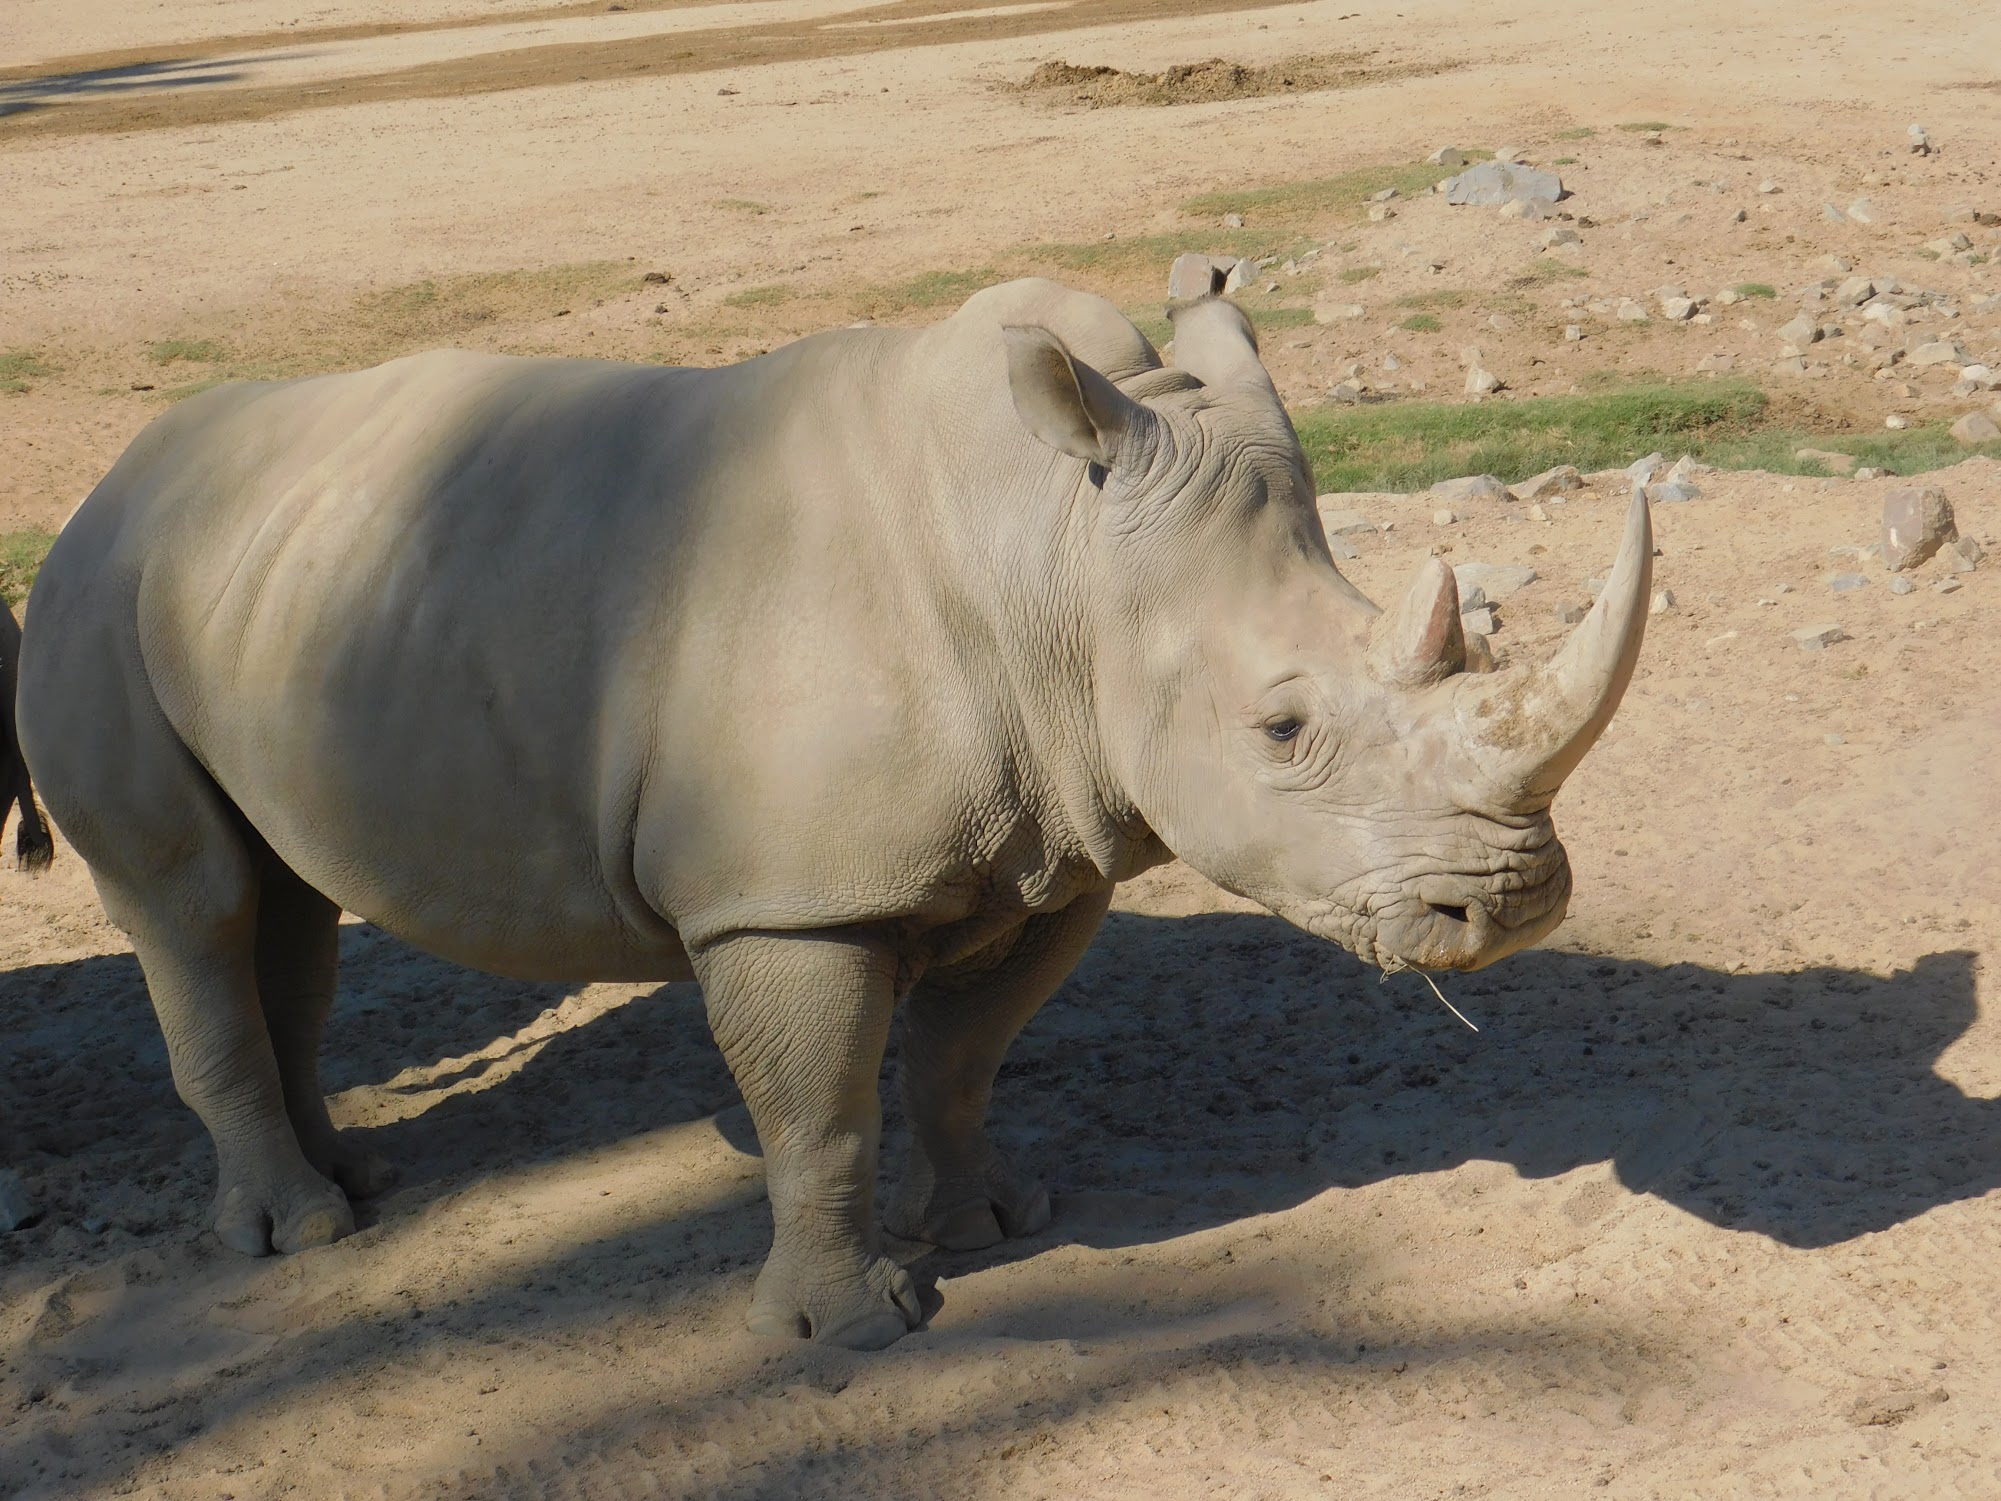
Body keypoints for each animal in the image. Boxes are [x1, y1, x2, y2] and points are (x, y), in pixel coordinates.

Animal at [15, 278, 1649, 1348]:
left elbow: (957, 1064)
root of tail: (106, 479)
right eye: (1284, 730)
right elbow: (819, 1107)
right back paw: (296, 1235)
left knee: (284, 899)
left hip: (277, 586)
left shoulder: (1057, 849)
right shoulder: (788, 897)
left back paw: (356, 1186)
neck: (1055, 557)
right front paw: (849, 1330)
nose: (1515, 903)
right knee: (193, 903)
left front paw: (998, 1226)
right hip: (92, 591)